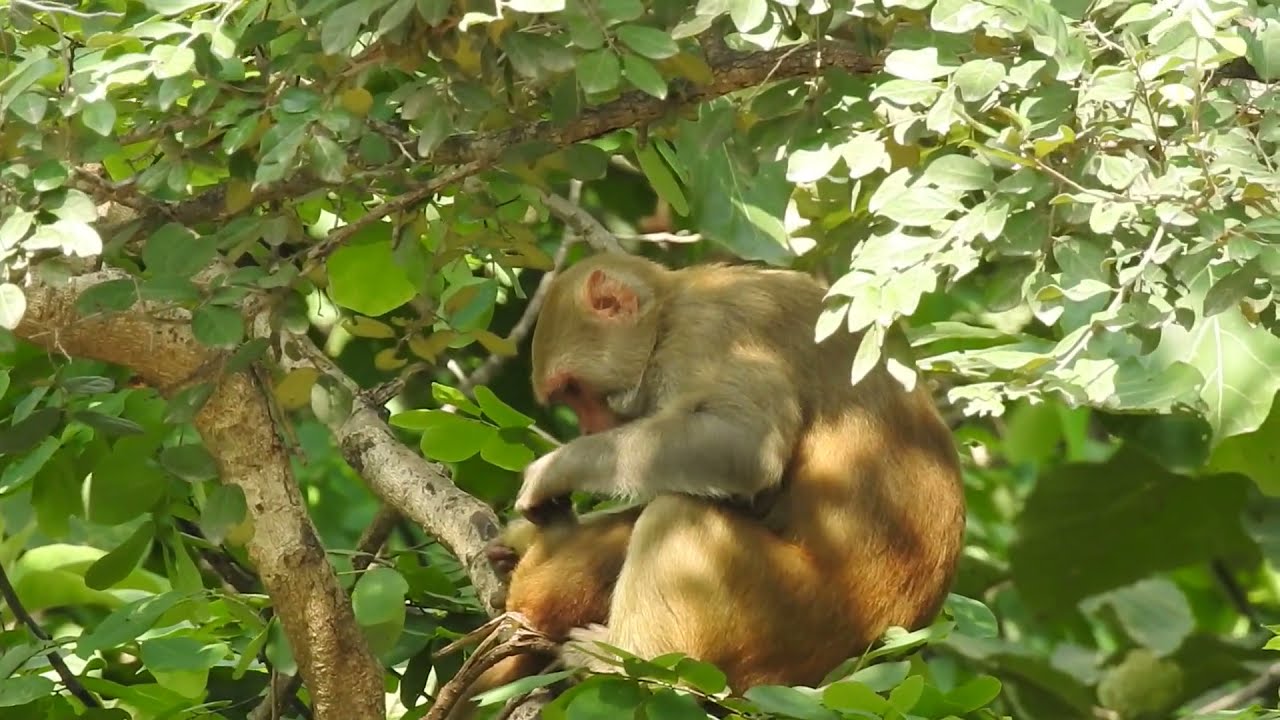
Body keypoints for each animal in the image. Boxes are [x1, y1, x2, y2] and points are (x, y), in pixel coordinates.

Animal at [451, 252, 965, 715]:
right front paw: (527, 537)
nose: (588, 428)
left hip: (798, 619)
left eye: (575, 390)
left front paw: (557, 468)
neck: (669, 310)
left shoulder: (712, 334)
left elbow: (743, 444)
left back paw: (633, 663)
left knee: (678, 513)